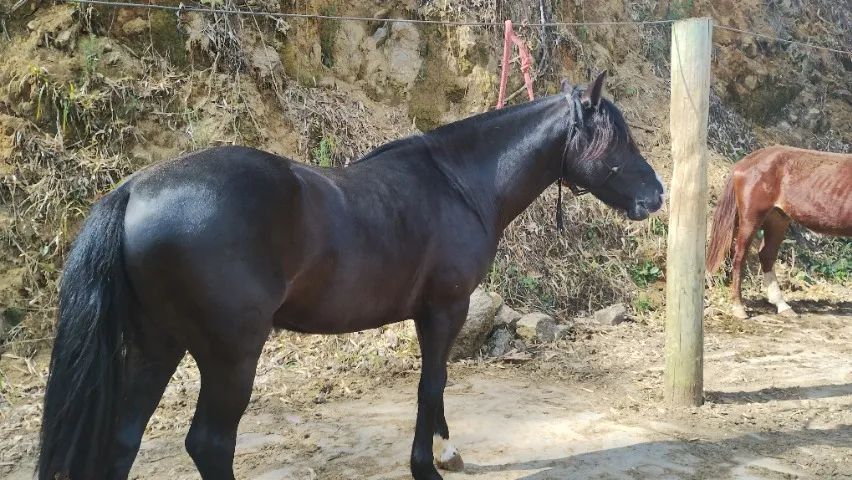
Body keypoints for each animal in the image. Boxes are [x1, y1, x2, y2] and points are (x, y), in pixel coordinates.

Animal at [37, 71, 664, 480]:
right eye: (618, 138)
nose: (656, 195)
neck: (460, 183)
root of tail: (134, 189)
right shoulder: (446, 308)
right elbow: (431, 383)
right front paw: (427, 466)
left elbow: (435, 388)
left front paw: (446, 452)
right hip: (229, 355)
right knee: (209, 444)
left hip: (157, 345)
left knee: (124, 437)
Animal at [706, 145, 852, 319]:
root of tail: (746, 161)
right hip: (751, 218)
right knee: (739, 257)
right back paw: (739, 307)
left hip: (777, 218)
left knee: (766, 255)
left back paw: (782, 305)